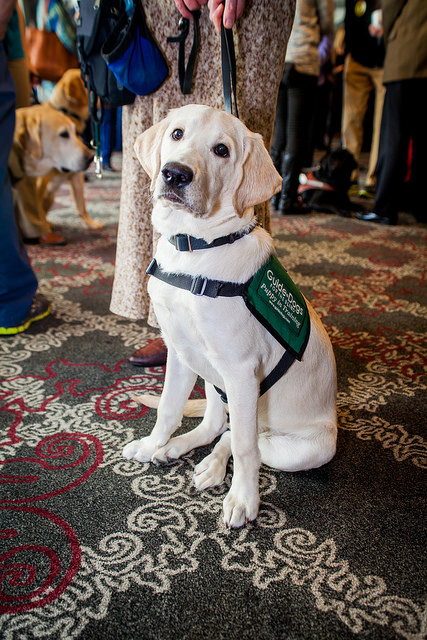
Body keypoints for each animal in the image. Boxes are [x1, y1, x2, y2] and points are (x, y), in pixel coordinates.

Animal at [123, 102, 338, 528]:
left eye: (221, 150)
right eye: (177, 134)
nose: (174, 173)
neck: (195, 249)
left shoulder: (241, 370)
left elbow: (243, 444)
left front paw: (243, 499)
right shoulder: (179, 351)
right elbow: (169, 407)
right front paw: (154, 443)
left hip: (310, 446)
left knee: (245, 437)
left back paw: (213, 466)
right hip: (212, 378)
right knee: (215, 423)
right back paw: (177, 448)